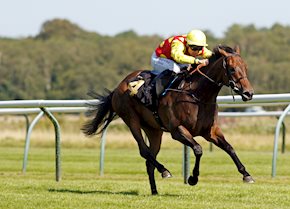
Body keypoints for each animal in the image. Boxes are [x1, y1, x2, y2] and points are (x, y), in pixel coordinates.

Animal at [81, 44, 254, 194]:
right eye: (232, 69)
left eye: (246, 68)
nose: (249, 93)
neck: (197, 95)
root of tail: (118, 87)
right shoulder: (177, 131)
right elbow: (198, 149)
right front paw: (192, 178)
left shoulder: (210, 131)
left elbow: (229, 148)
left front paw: (246, 175)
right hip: (131, 120)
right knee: (144, 151)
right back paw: (164, 171)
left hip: (153, 130)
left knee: (149, 160)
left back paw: (154, 191)